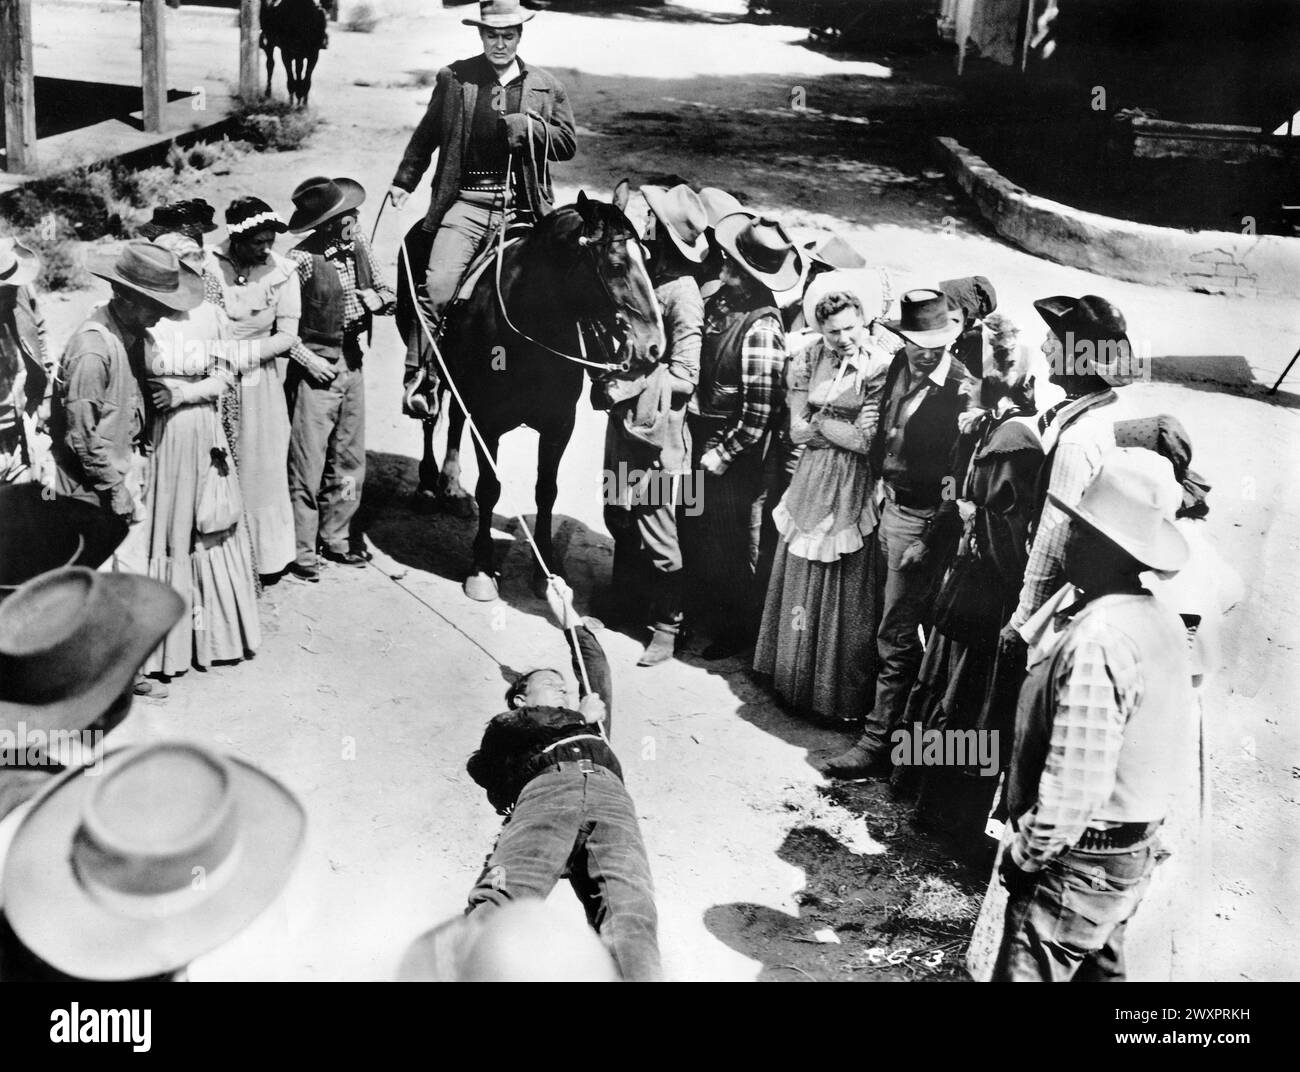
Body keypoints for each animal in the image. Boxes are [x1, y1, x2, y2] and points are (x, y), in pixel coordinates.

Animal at [392, 184, 660, 602]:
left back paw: (451, 487)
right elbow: (490, 488)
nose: (653, 345)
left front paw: (547, 571)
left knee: (454, 418)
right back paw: (427, 484)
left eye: (647, 259)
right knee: (432, 415)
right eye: (616, 265)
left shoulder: (558, 425)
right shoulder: (488, 424)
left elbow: (546, 491)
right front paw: (481, 568)